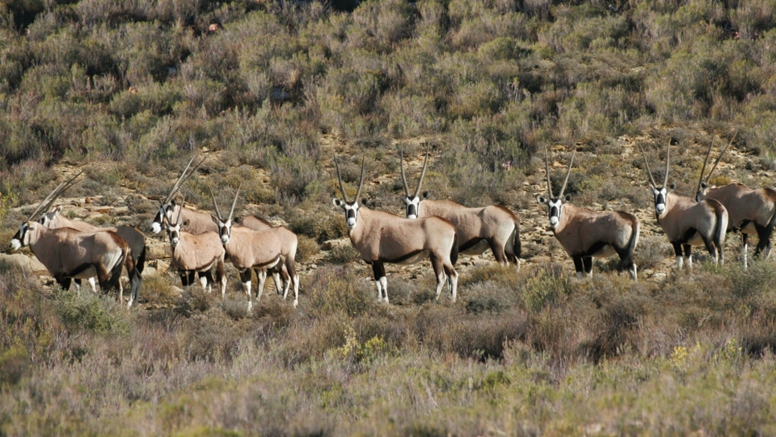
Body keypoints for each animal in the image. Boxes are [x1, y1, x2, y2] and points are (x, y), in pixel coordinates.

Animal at [330, 157, 458, 304]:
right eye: (344, 209)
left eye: (357, 208)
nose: (351, 223)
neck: (365, 225)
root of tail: (451, 226)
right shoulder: (373, 262)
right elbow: (376, 281)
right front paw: (379, 301)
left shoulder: (377, 260)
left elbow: (382, 281)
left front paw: (386, 302)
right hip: (445, 257)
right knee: (453, 274)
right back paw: (452, 300)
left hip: (437, 255)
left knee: (442, 277)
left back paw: (434, 299)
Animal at [536, 150, 640, 280]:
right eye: (548, 206)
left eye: (560, 206)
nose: (553, 221)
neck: (568, 220)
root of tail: (630, 219)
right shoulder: (587, 256)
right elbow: (589, 275)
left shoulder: (576, 255)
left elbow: (580, 276)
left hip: (622, 249)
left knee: (631, 267)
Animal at [696, 133, 776, 268]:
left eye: (697, 198)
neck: (721, 194)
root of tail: (772, 196)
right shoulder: (744, 232)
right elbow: (744, 250)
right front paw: (744, 268)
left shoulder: (729, 228)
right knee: (767, 246)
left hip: (762, 227)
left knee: (766, 246)